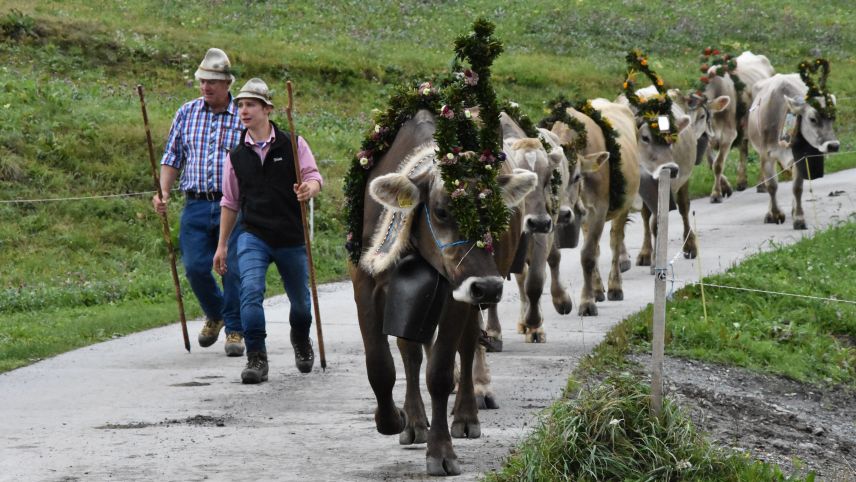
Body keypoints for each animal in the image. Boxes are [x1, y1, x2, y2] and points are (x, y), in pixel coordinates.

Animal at [744, 57, 840, 231]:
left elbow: (797, 188)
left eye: (833, 117)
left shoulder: (800, 157)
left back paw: (793, 210)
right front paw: (775, 215)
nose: (833, 146)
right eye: (812, 119)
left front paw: (799, 218)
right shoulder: (766, 155)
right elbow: (771, 185)